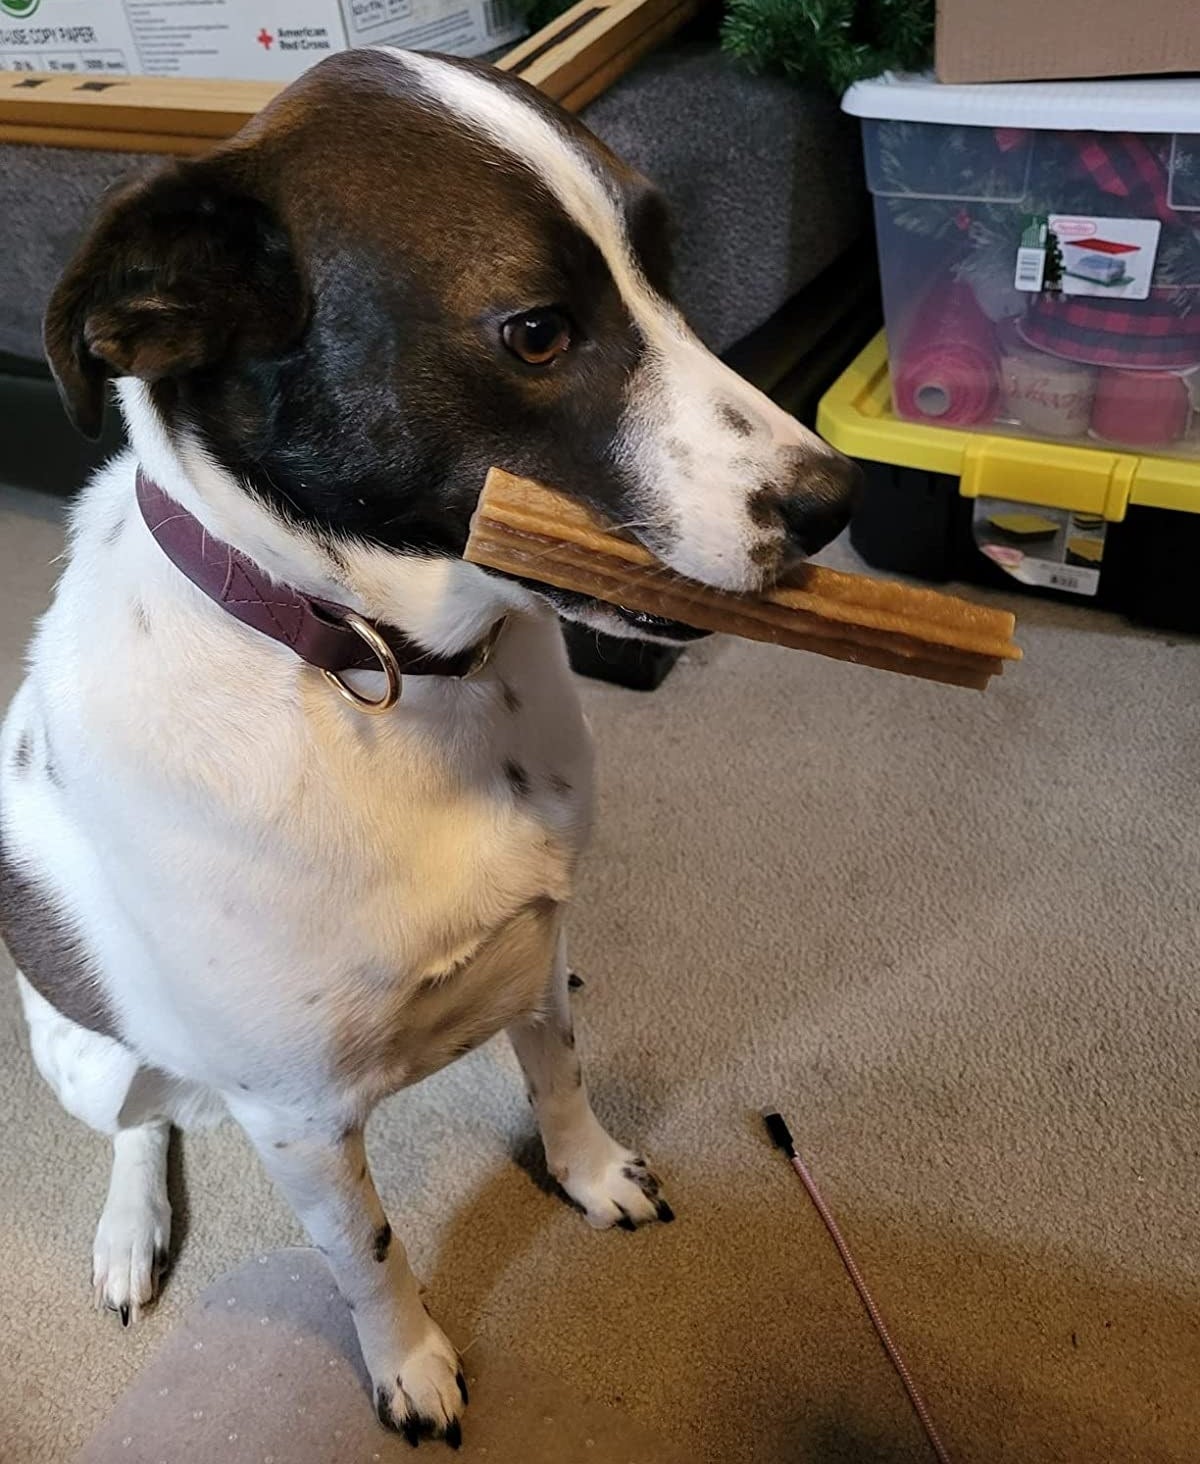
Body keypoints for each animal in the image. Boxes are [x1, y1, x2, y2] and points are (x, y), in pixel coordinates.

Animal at [2, 51, 860, 1446]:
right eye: (535, 333)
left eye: (667, 265)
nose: (840, 504)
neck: (378, 672)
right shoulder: (296, 1123)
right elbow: (368, 1252)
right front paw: (407, 1364)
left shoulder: (542, 936)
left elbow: (560, 1078)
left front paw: (590, 1174)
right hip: (82, 1049)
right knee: (140, 1117)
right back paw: (130, 1233)